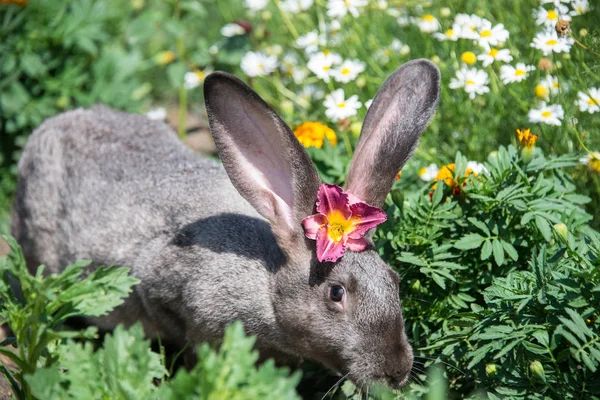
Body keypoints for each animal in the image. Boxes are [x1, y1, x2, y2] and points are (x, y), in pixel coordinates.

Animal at [9, 59, 440, 388]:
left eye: (393, 281)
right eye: (336, 293)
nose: (397, 371)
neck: (267, 278)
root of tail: (52, 125)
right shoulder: (167, 295)